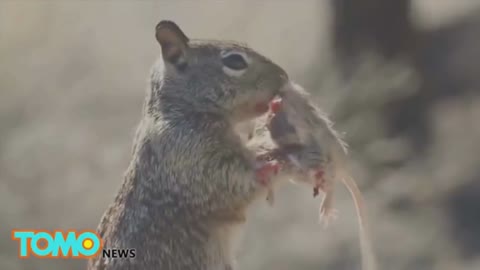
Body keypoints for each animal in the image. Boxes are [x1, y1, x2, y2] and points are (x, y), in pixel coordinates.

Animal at [87, 20, 292, 270]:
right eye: (235, 61)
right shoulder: (191, 157)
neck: (180, 109)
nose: (284, 77)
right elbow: (232, 183)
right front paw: (270, 167)